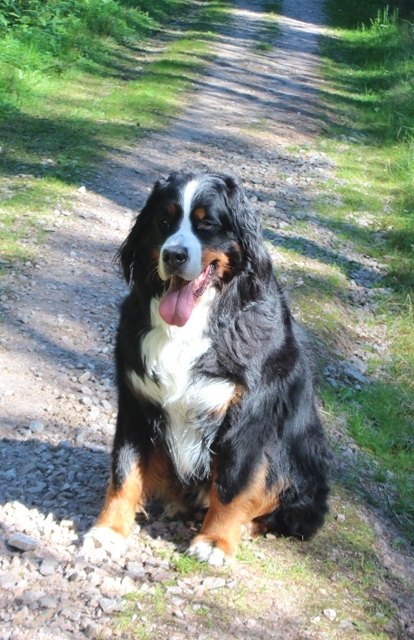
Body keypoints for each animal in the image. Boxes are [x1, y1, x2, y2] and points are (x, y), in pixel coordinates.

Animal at [89, 170, 330, 565]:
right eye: (164, 221)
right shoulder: (136, 401)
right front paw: (108, 530)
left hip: (296, 458)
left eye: (206, 224)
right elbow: (124, 469)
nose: (174, 254)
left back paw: (244, 527)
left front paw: (216, 541)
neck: (191, 326)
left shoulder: (247, 414)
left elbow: (232, 483)